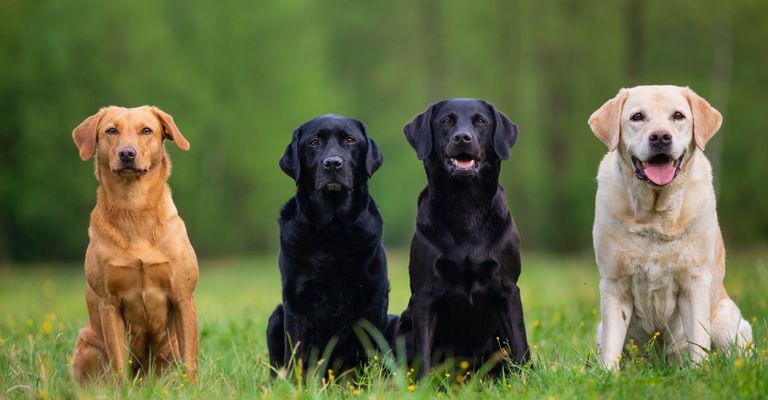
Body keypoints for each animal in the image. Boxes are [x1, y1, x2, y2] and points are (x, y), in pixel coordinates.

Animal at [69, 106, 200, 384]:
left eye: (146, 130)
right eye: (111, 130)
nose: (127, 153)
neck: (134, 208)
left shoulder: (183, 297)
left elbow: (191, 359)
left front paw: (193, 387)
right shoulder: (109, 303)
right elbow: (119, 361)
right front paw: (121, 389)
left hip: (169, 349)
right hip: (88, 345)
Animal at [268, 113, 390, 376]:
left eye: (350, 140)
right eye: (314, 143)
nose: (333, 163)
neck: (333, 232)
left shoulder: (373, 298)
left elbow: (371, 352)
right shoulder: (296, 302)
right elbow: (296, 353)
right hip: (275, 316)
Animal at [392, 98, 532, 376]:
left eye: (481, 121)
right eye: (446, 121)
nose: (462, 138)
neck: (465, 206)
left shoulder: (508, 288)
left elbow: (520, 344)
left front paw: (525, 380)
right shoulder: (425, 294)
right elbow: (423, 352)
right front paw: (422, 384)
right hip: (402, 327)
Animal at [592, 86, 752, 370]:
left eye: (678, 116)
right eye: (637, 117)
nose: (660, 137)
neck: (655, 217)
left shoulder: (694, 282)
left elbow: (698, 340)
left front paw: (699, 373)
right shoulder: (614, 283)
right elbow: (612, 344)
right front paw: (607, 375)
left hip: (728, 324)